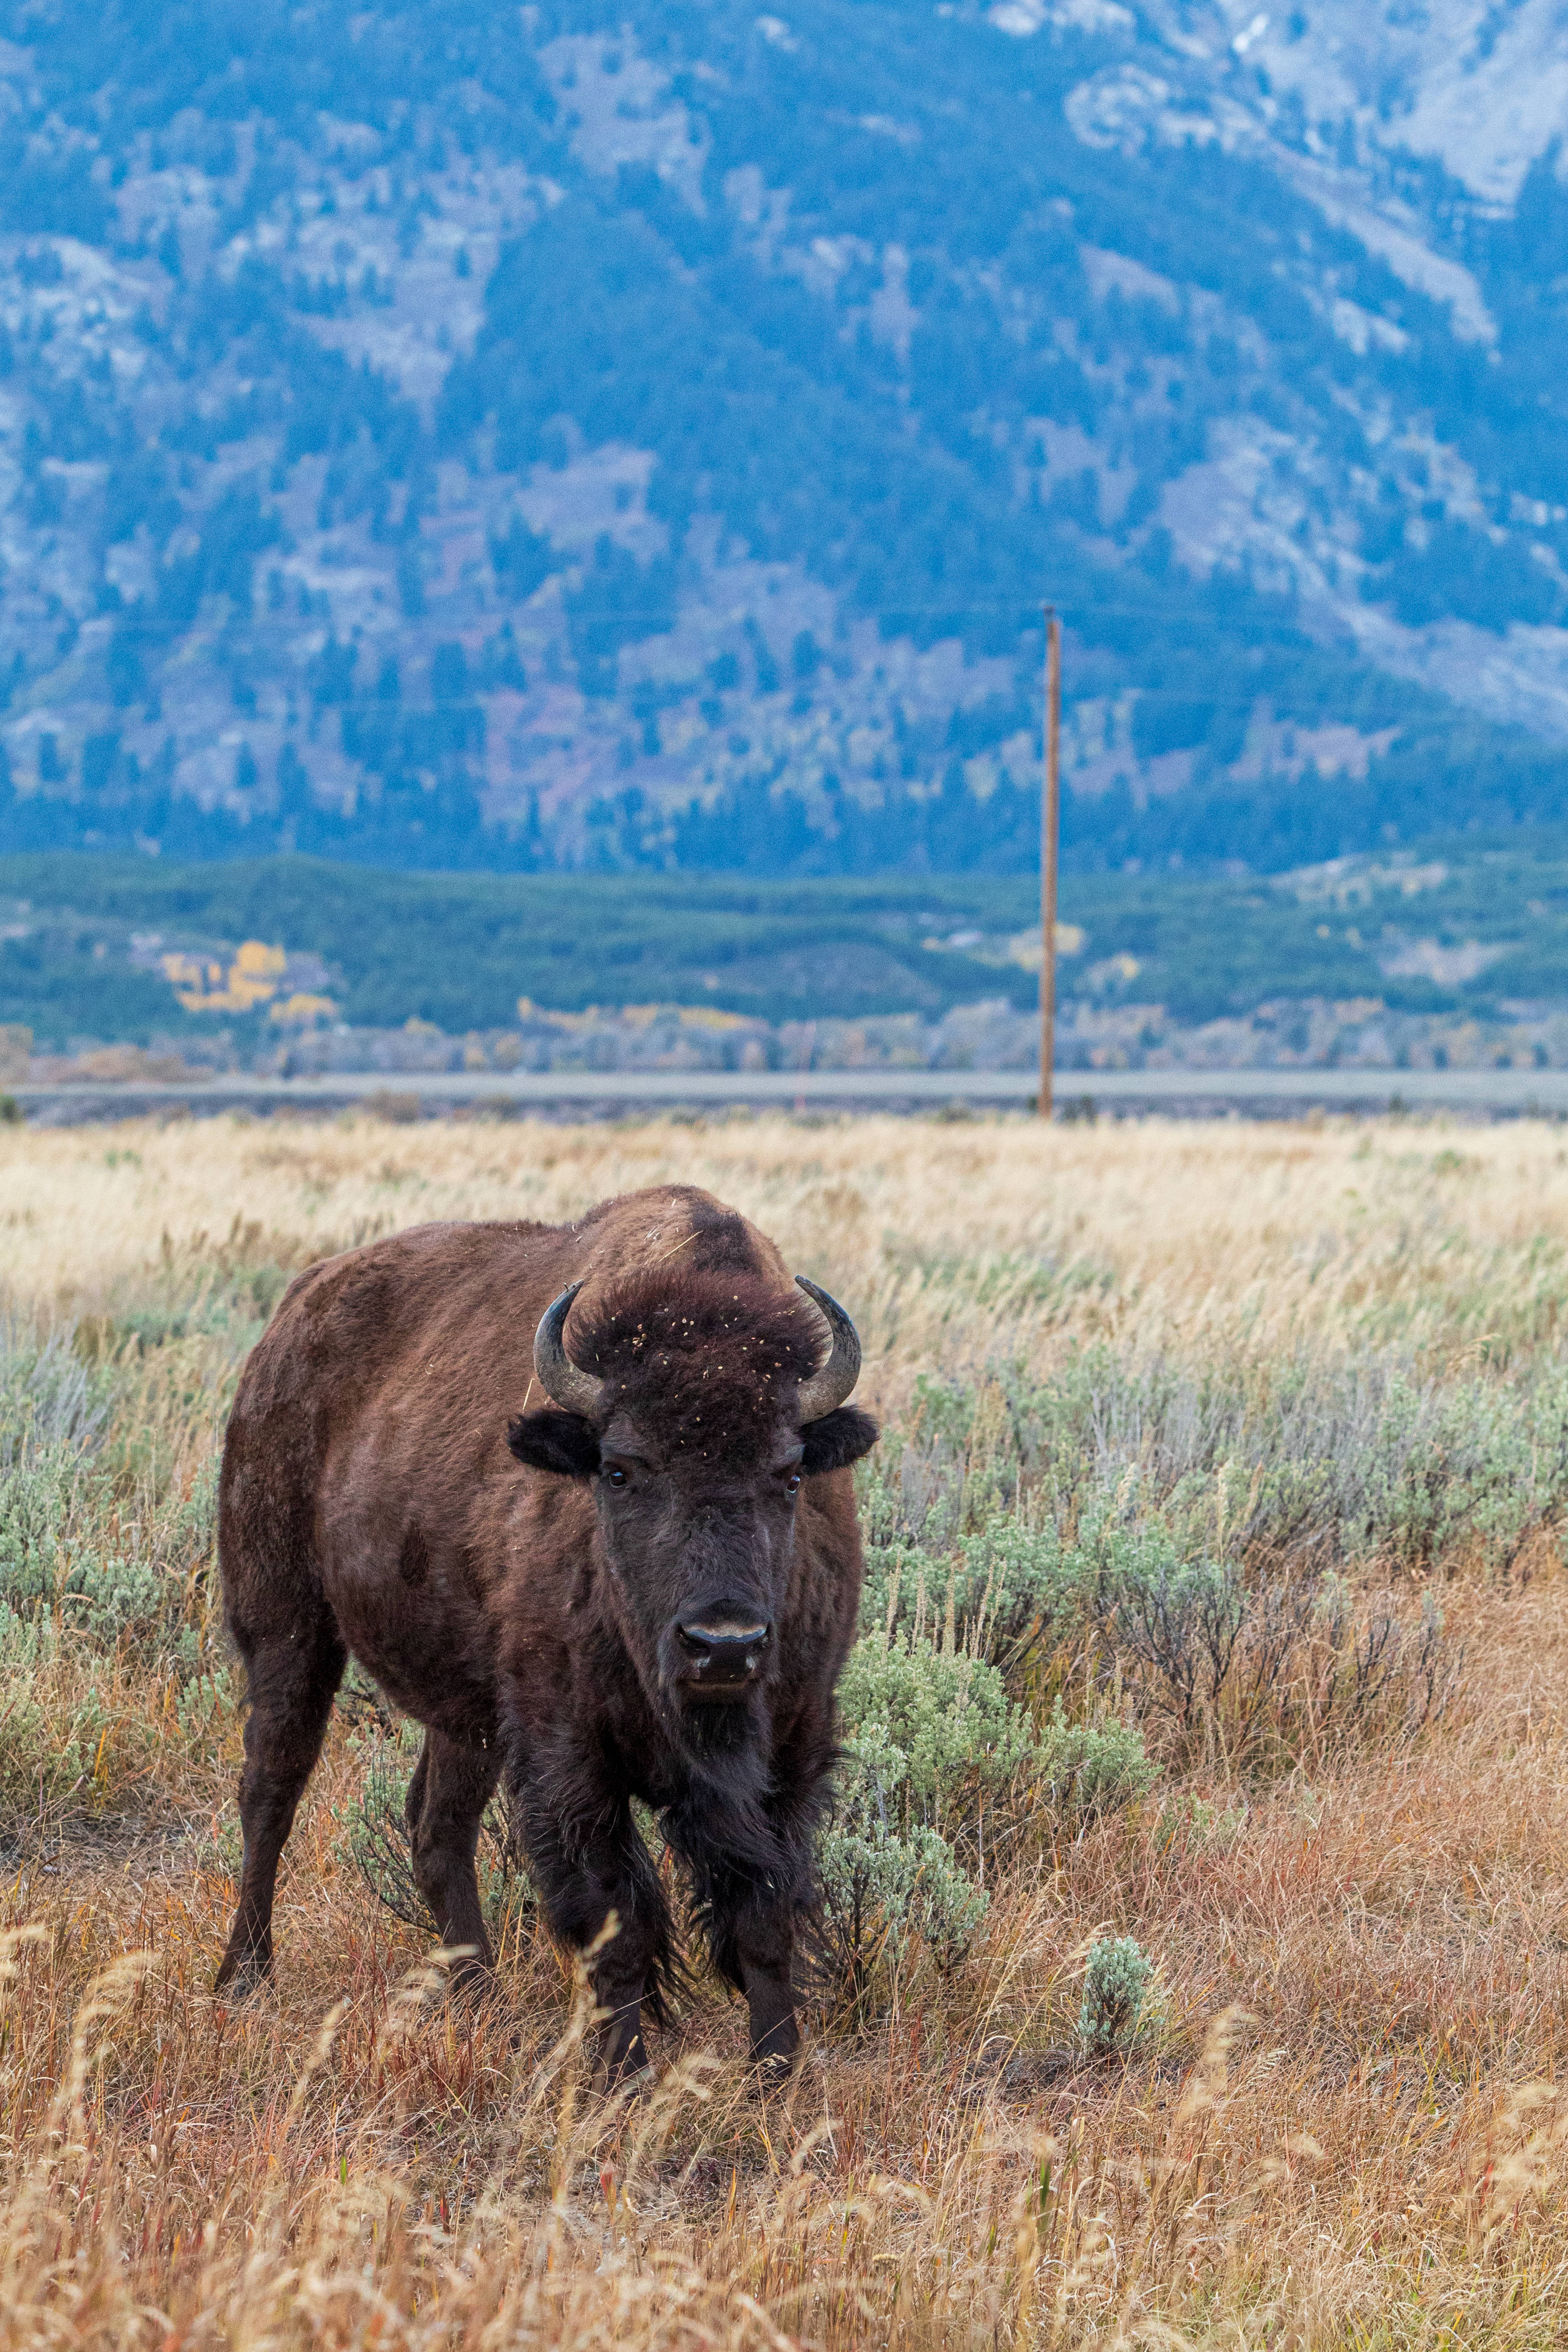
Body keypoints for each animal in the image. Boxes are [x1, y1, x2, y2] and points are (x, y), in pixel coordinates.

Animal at [214, 1183, 878, 2080]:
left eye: (791, 1473)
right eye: (621, 1470)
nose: (723, 1644)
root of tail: (296, 1309)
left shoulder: (792, 1747)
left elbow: (765, 1915)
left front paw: (777, 2073)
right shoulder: (568, 1753)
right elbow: (615, 1921)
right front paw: (624, 2076)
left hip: (467, 1709)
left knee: (436, 1826)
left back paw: (479, 2000)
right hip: (287, 1625)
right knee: (272, 1790)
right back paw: (243, 1977)